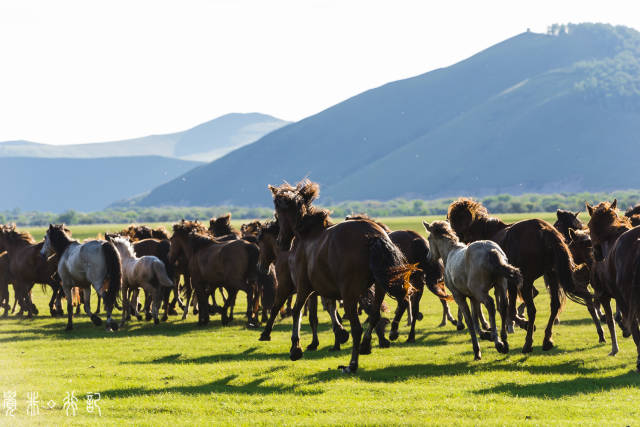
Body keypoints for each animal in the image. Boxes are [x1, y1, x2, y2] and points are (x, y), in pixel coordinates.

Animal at [268, 179, 416, 372]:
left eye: (277, 215)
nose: (281, 242)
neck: (306, 235)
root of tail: (373, 235)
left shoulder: (304, 287)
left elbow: (297, 312)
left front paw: (296, 348)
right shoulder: (324, 290)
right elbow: (329, 310)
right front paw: (338, 335)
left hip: (349, 294)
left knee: (357, 328)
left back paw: (352, 364)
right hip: (379, 288)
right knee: (376, 314)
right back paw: (369, 343)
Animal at [424, 221, 520, 362]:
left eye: (429, 238)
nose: (428, 257)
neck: (451, 252)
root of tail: (490, 250)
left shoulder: (459, 296)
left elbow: (469, 319)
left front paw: (477, 349)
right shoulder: (472, 297)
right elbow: (475, 316)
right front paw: (485, 334)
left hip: (480, 291)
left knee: (490, 304)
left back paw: (498, 343)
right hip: (500, 285)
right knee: (502, 307)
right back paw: (504, 340)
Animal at [448, 199, 596, 352]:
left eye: (455, 220)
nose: (456, 240)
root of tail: (544, 231)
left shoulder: (510, 283)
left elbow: (508, 309)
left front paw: (522, 324)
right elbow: (507, 308)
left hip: (527, 282)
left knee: (532, 310)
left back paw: (528, 342)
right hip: (551, 276)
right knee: (554, 305)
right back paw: (546, 339)